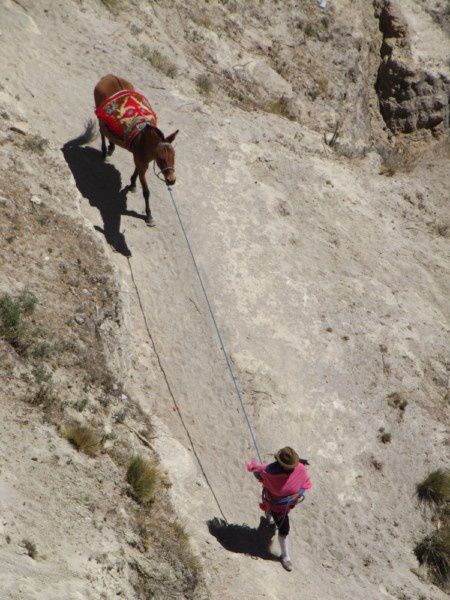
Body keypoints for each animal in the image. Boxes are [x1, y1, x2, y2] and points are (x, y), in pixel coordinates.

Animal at [93, 73, 178, 227]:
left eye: (174, 156)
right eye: (161, 158)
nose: (171, 180)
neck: (143, 139)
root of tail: (110, 76)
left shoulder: (143, 161)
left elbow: (136, 172)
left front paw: (132, 183)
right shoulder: (142, 163)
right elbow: (146, 191)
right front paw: (149, 215)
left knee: (108, 133)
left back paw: (111, 147)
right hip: (100, 116)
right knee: (102, 131)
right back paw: (104, 152)